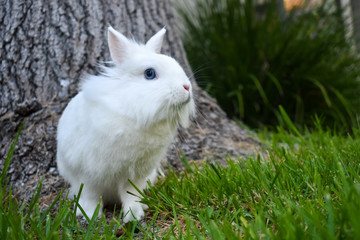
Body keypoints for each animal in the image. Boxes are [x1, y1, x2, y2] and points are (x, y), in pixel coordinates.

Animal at [56, 26, 195, 223]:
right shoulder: (87, 173)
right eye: (150, 73)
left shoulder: (135, 175)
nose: (187, 87)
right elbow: (91, 195)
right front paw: (90, 215)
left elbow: (131, 195)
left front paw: (134, 216)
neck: (133, 112)